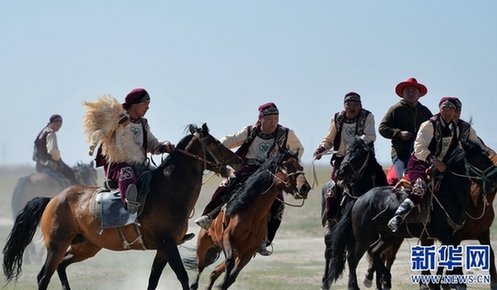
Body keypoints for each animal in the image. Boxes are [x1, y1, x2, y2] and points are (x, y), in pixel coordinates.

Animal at [1, 124, 242, 290]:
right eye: (216, 142)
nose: (238, 160)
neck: (168, 190)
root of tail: (52, 199)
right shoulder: (167, 245)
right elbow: (182, 277)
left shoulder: (164, 248)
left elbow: (153, 281)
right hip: (57, 245)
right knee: (44, 276)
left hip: (85, 246)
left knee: (60, 267)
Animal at [186, 150, 310, 290]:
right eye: (287, 165)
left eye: (301, 167)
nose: (305, 187)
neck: (253, 214)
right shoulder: (227, 238)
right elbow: (229, 263)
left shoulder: (248, 251)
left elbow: (231, 277)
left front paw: (224, 283)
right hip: (203, 242)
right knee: (199, 268)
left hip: (236, 251)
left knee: (214, 272)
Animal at [320, 138, 386, 290]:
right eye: (347, 153)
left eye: (359, 156)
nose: (340, 172)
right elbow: (352, 255)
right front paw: (353, 284)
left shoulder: (373, 234)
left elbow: (374, 254)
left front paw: (377, 282)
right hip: (330, 227)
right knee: (329, 251)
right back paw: (325, 282)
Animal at [328, 141, 496, 290]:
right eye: (481, 158)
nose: (495, 177)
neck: (448, 194)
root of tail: (360, 199)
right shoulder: (445, 234)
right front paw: (457, 284)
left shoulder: (452, 236)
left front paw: (438, 284)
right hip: (364, 237)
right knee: (353, 259)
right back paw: (355, 286)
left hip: (389, 236)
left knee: (374, 252)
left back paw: (386, 277)